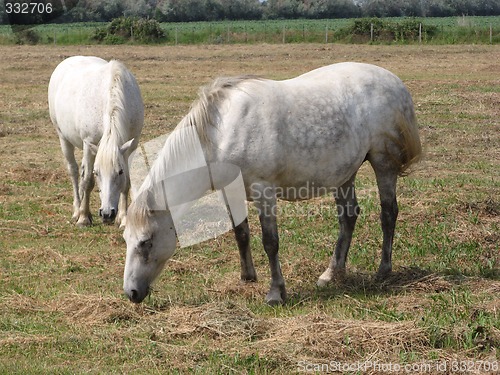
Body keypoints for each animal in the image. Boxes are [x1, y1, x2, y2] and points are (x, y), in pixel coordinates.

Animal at [48, 55, 144, 226]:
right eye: (97, 172)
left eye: (119, 171)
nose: (107, 214)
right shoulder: (88, 143)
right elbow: (87, 181)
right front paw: (84, 218)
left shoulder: (131, 145)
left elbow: (127, 182)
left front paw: (123, 218)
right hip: (64, 138)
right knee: (74, 171)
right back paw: (77, 210)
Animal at [122, 62, 422, 306]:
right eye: (126, 239)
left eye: (146, 242)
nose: (131, 293)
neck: (221, 132)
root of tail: (395, 82)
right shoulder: (231, 192)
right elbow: (241, 233)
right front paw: (247, 277)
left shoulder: (263, 191)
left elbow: (270, 242)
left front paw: (276, 292)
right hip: (344, 172)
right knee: (348, 216)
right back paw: (331, 273)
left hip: (383, 163)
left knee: (388, 213)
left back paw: (383, 270)